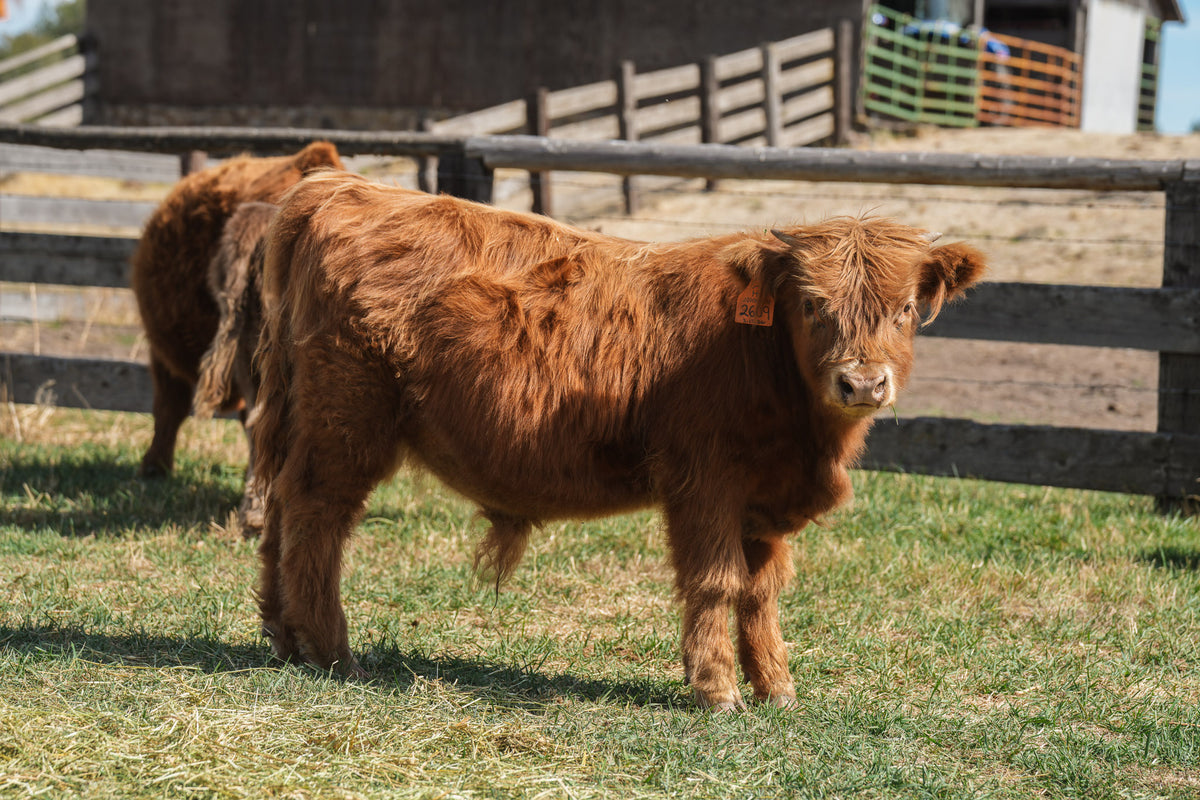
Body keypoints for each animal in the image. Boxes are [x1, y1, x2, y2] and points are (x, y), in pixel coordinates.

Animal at [251, 170, 986, 710]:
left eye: (905, 309)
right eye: (813, 306)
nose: (862, 383)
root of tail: (343, 187)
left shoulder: (764, 499)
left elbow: (760, 591)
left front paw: (776, 686)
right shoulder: (705, 482)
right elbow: (715, 581)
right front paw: (717, 691)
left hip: (305, 422)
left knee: (280, 511)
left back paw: (283, 636)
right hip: (346, 422)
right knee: (317, 516)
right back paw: (334, 651)